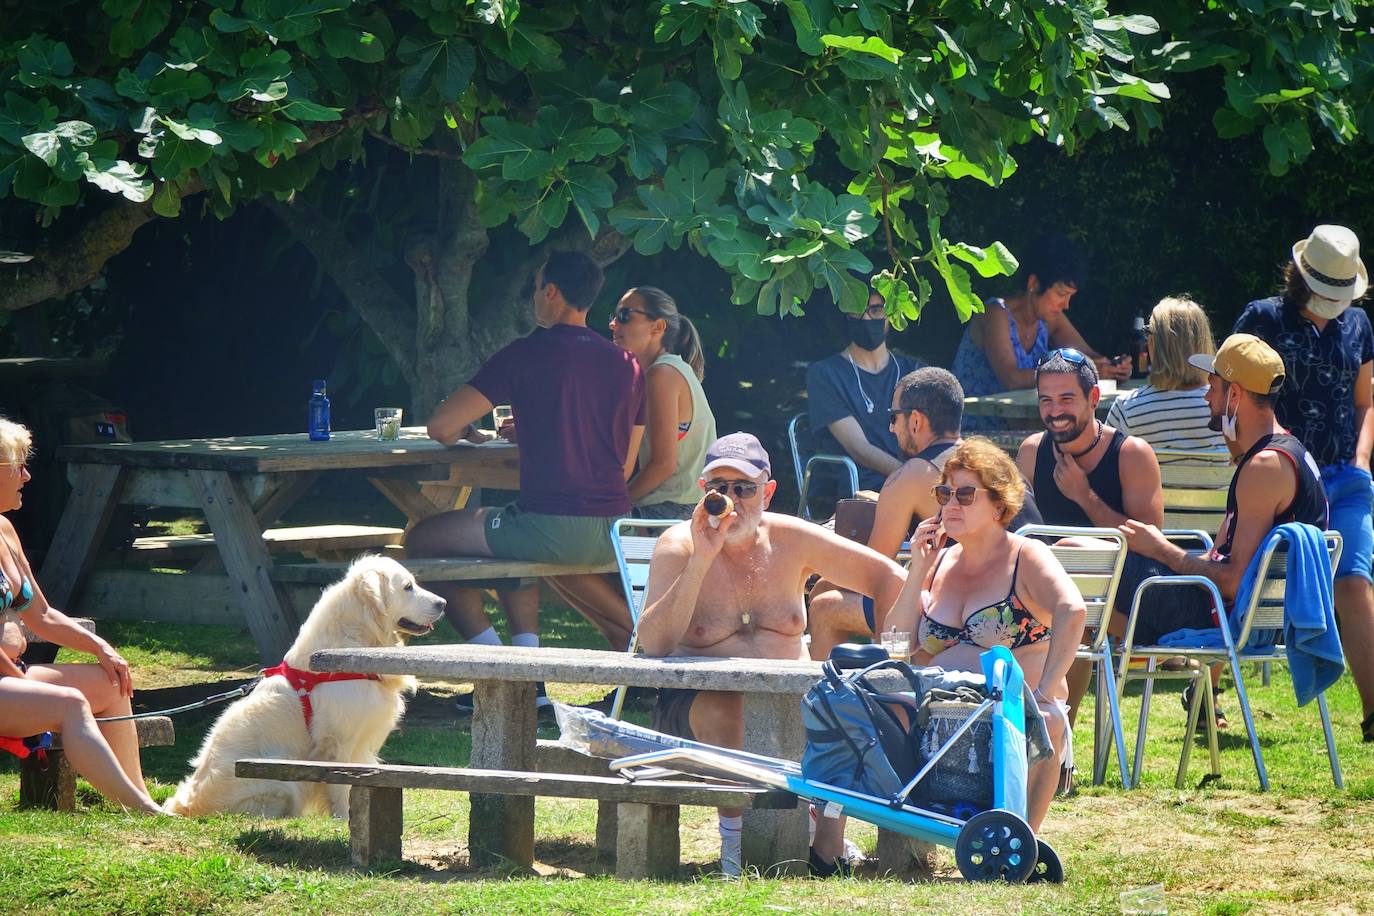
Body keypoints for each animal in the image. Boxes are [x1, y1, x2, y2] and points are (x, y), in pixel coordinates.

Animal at [164, 552, 445, 818]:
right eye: (408, 586)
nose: (443, 603)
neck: (357, 638)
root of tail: (185, 807)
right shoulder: (338, 742)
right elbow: (341, 787)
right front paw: (343, 818)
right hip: (281, 782)